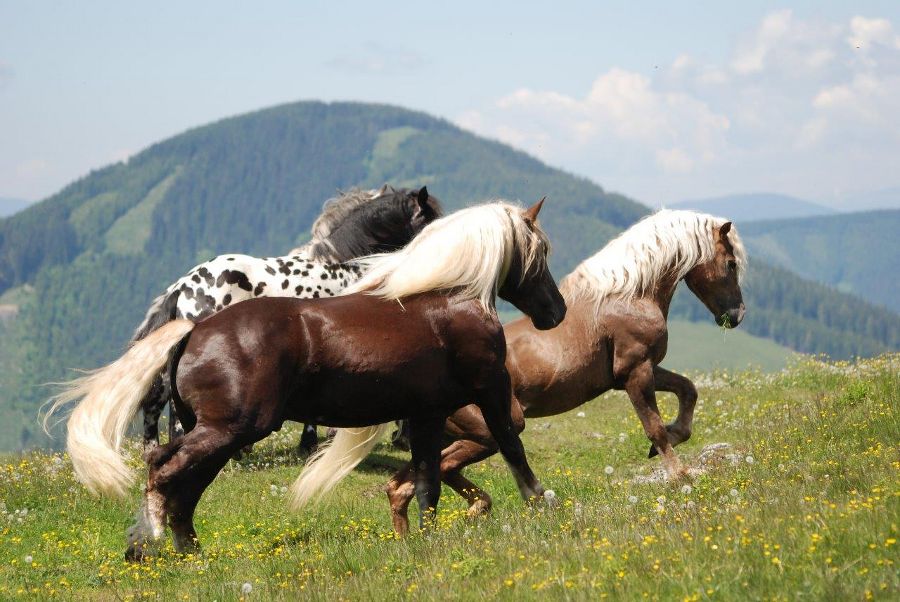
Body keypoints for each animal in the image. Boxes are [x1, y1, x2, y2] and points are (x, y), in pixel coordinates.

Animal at [384, 209, 744, 532]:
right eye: (731, 263)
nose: (737, 315)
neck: (627, 295)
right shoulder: (635, 371)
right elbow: (654, 427)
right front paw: (679, 476)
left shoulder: (641, 370)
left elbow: (687, 389)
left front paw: (673, 437)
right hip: (492, 429)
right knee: (437, 470)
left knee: (402, 484)